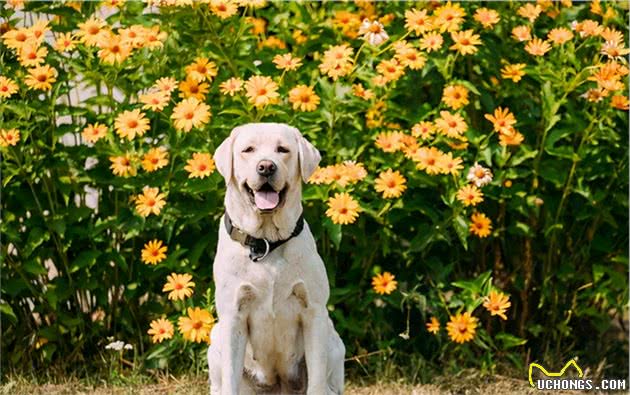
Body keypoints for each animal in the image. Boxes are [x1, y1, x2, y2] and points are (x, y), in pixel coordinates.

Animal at [207, 122, 346, 394]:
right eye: (248, 150)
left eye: (283, 149)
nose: (266, 167)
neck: (266, 243)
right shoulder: (233, 316)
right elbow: (230, 380)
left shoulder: (314, 312)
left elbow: (316, 380)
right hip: (215, 339)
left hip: (334, 340)